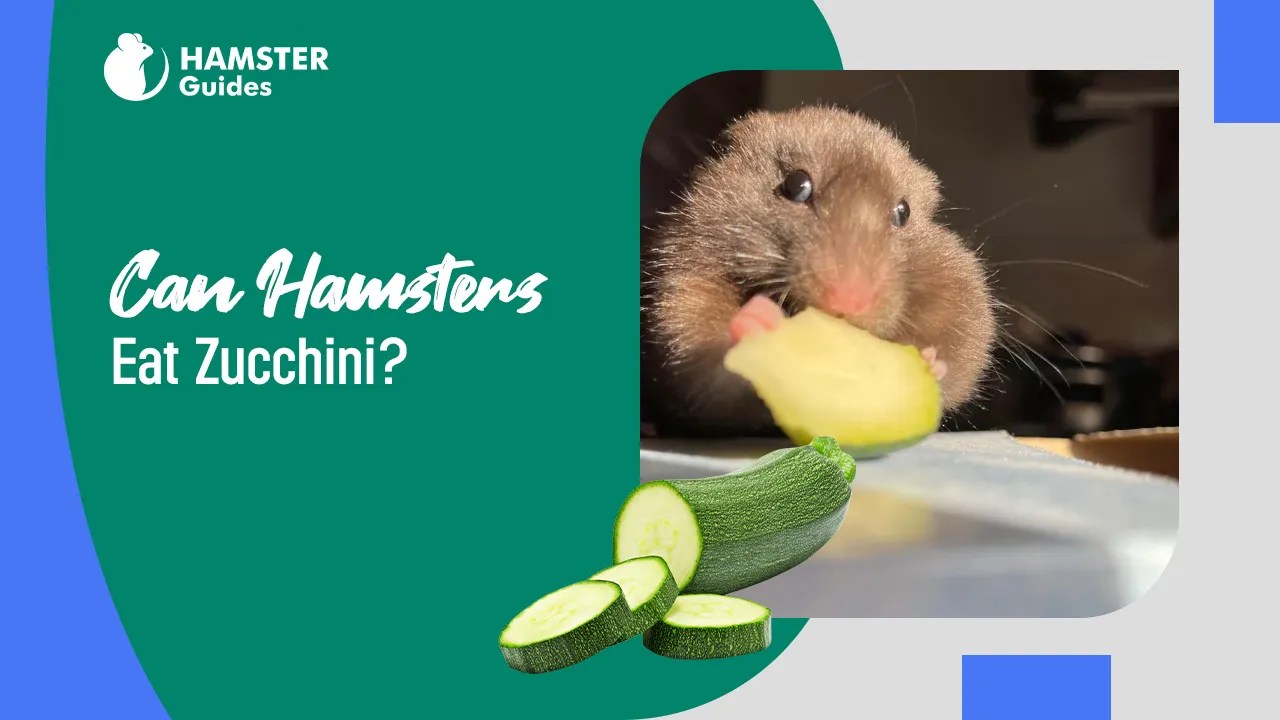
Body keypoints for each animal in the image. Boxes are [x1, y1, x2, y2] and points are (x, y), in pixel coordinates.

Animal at [641, 105, 998, 437]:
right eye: (796, 185)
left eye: (903, 212)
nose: (847, 302)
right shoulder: (684, 273)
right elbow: (701, 347)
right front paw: (757, 320)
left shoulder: (962, 296)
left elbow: (961, 357)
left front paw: (928, 361)